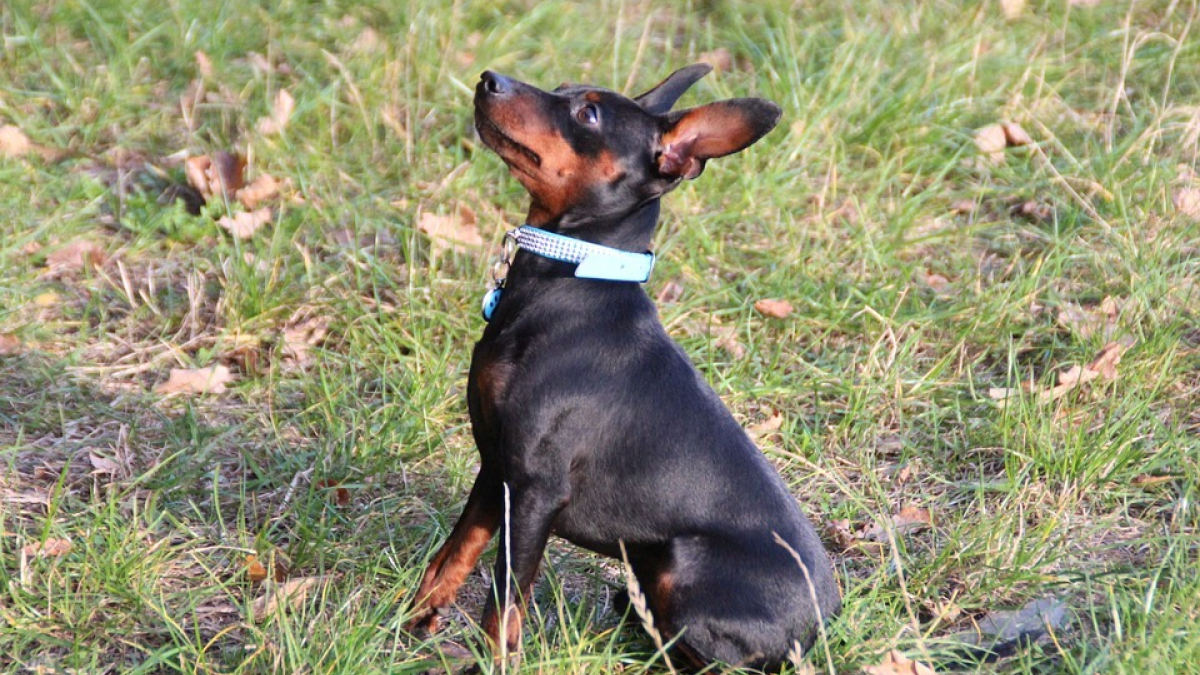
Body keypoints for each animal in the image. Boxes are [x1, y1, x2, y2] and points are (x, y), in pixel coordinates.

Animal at [408, 64, 840, 667]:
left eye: (588, 114)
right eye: (561, 88)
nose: (490, 78)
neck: (573, 278)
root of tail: (822, 627)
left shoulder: (536, 487)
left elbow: (505, 602)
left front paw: (492, 663)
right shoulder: (498, 465)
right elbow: (455, 553)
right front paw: (411, 622)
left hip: (683, 566)